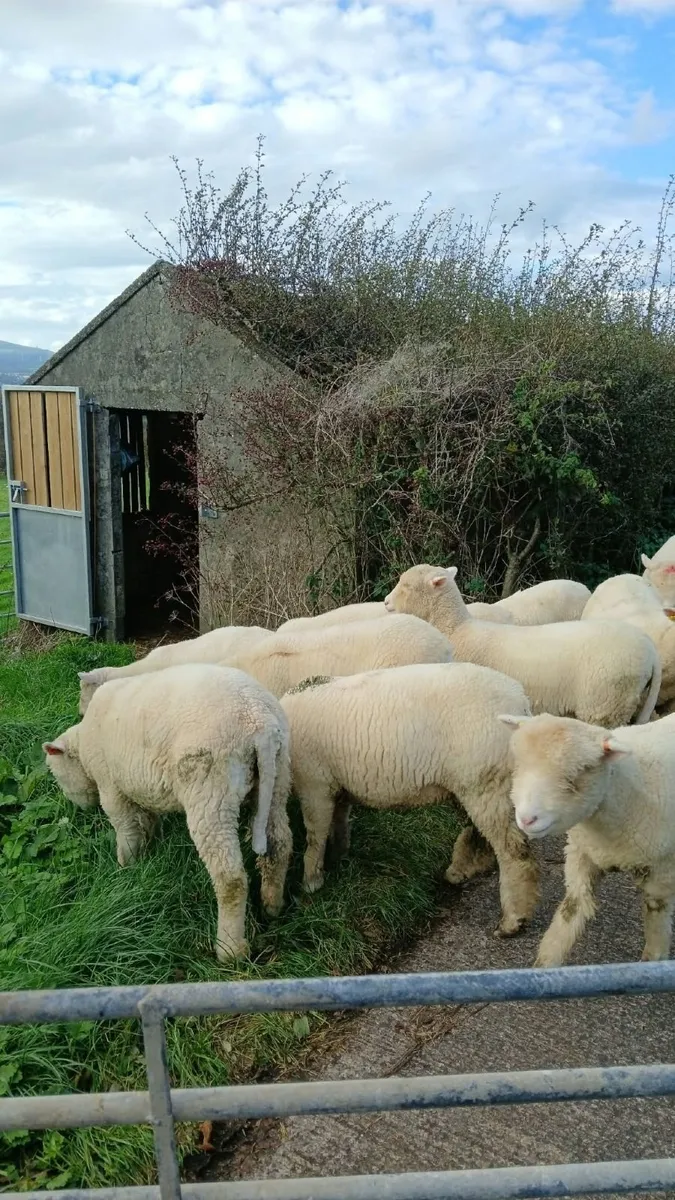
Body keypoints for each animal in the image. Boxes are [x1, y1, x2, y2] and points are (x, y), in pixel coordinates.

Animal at [45, 664, 292, 961]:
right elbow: (147, 820)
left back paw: (230, 950)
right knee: (279, 844)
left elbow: (126, 829)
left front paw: (126, 866)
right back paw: (272, 906)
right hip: (278, 777)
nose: (78, 808)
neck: (84, 744)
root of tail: (257, 720)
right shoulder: (142, 786)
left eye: (57, 774)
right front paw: (149, 848)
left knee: (230, 877)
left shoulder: (110, 786)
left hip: (211, 792)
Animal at [281, 662, 540, 938]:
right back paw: (460, 871)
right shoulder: (337, 785)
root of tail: (521, 702)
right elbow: (338, 824)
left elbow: (315, 836)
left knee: (513, 851)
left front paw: (311, 884)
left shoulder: (314, 782)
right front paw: (339, 858)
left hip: (484, 781)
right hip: (477, 783)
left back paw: (512, 920)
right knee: (479, 832)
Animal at [385, 565, 661, 727]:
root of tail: (650, 648)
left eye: (407, 586)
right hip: (631, 700)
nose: (386, 602)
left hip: (606, 705)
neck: (457, 630)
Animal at [499, 711, 675, 966]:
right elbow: (572, 910)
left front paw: (653, 960)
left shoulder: (662, 873)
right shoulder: (582, 854)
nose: (526, 819)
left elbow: (656, 918)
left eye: (573, 778)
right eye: (518, 767)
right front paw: (543, 965)